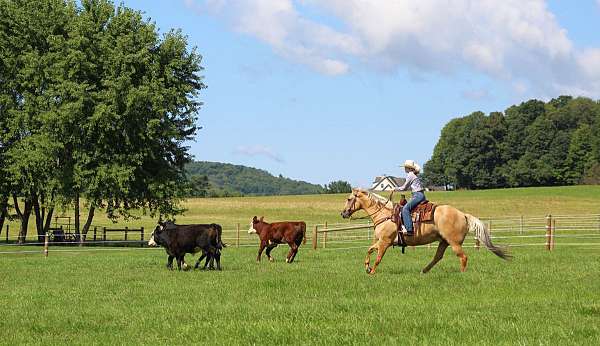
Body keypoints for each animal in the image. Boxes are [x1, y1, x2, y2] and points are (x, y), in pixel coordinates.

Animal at [340, 188, 508, 274]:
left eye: (348, 199)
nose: (343, 213)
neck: (385, 214)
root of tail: (463, 215)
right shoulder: (381, 242)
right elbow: (369, 250)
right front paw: (367, 267)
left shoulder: (385, 242)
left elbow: (378, 258)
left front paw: (372, 271)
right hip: (444, 242)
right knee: (437, 257)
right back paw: (424, 271)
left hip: (454, 243)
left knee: (463, 257)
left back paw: (462, 274)